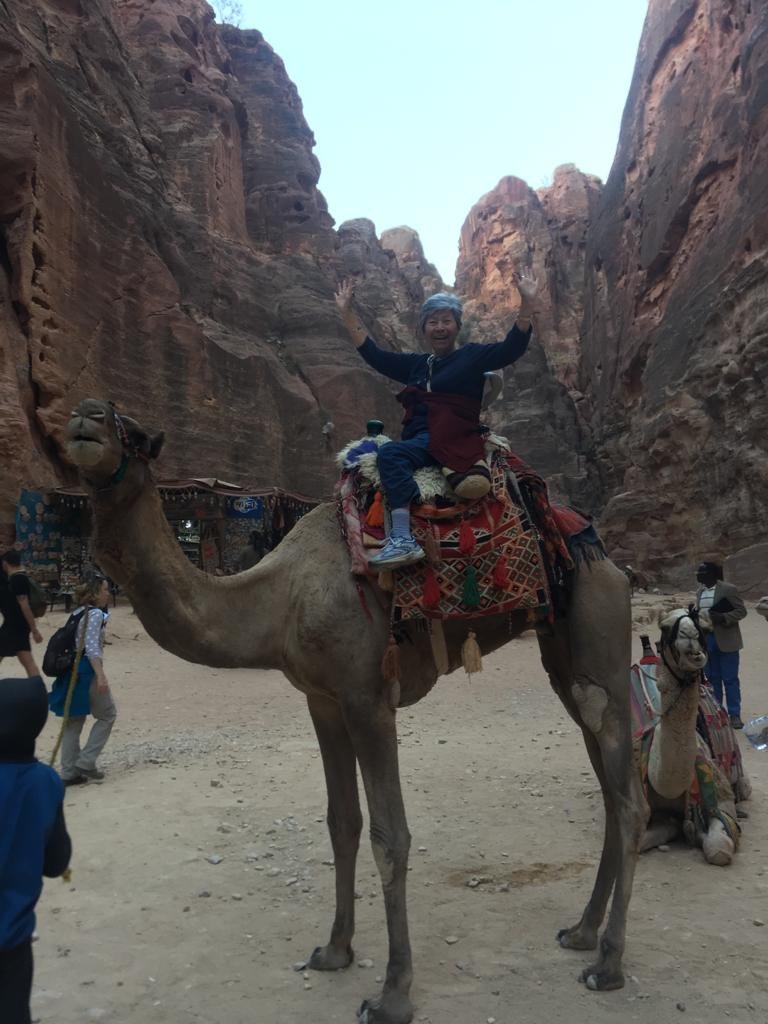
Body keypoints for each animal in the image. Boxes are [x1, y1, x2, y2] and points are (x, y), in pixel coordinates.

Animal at [64, 398, 648, 1024]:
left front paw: (393, 994)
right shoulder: (322, 699)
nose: (84, 417)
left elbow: (391, 837)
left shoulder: (368, 698)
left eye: (132, 432)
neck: (279, 599)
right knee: (607, 781)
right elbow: (341, 822)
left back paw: (609, 963)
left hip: (598, 628)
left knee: (628, 796)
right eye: (99, 415)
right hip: (563, 659)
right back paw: (582, 932)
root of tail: (605, 558)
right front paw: (333, 950)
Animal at [639, 609, 747, 866]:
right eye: (665, 627)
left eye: (705, 629)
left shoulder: (721, 797)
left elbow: (719, 849)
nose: (689, 635)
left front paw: (699, 833)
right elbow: (641, 841)